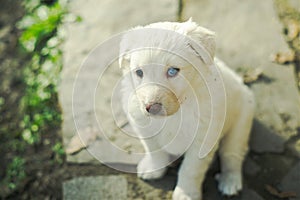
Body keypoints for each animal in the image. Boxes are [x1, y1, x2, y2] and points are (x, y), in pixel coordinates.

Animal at [118, 19, 254, 200]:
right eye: (139, 72)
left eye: (172, 71)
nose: (151, 108)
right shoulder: (142, 125)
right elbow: (154, 150)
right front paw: (154, 168)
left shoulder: (203, 139)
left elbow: (191, 170)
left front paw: (186, 194)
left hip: (241, 123)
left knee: (232, 154)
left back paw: (230, 181)